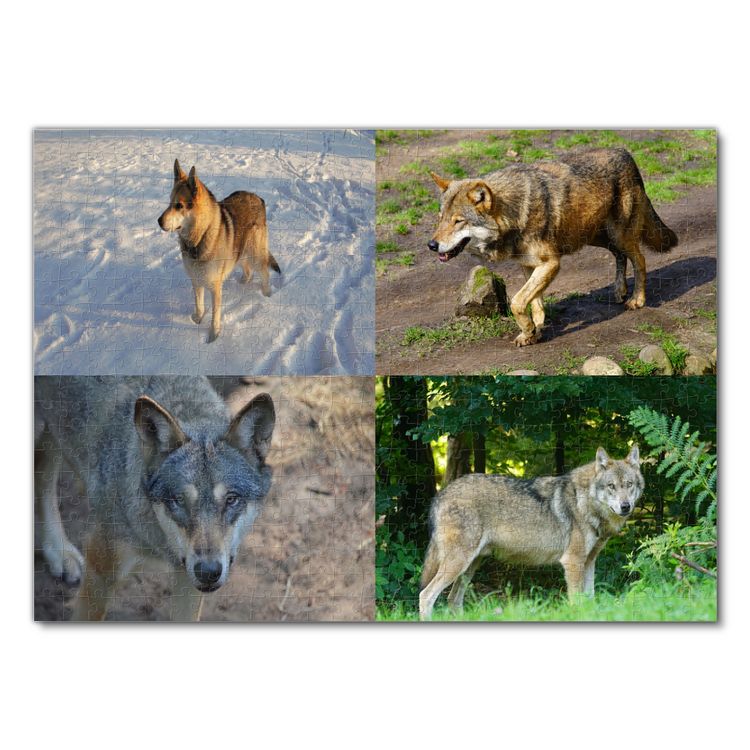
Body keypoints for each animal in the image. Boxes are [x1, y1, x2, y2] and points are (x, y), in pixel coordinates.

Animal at [34, 377, 275, 621]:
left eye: (231, 499)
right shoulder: (99, 572)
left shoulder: (187, 580)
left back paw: (59, 553)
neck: (160, 544)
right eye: (178, 499)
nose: (208, 572)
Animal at [158, 160, 281, 343]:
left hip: (254, 253)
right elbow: (199, 305)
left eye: (179, 205)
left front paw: (213, 337)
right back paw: (243, 282)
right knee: (247, 270)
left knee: (264, 272)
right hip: (239, 249)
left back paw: (266, 295)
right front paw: (196, 320)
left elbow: (215, 316)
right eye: (169, 202)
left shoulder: (215, 288)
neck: (199, 237)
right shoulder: (196, 280)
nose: (158, 221)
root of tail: (257, 197)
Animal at [418, 445, 643, 619]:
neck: (585, 501)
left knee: (452, 600)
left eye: (629, 485)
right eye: (611, 486)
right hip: (458, 564)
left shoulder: (589, 562)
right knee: (426, 596)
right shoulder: (572, 562)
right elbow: (577, 602)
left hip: (470, 567)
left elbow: (590, 599)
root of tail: (440, 494)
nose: (625, 506)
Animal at [428, 148, 678, 346]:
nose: (431, 244)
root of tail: (626, 153)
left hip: (619, 235)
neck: (515, 212)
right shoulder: (529, 265)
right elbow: (534, 302)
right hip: (595, 237)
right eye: (440, 219)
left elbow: (517, 302)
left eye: (458, 221)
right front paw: (534, 331)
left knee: (640, 260)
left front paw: (529, 329)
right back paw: (619, 290)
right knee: (620, 255)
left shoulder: (551, 263)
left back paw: (637, 299)